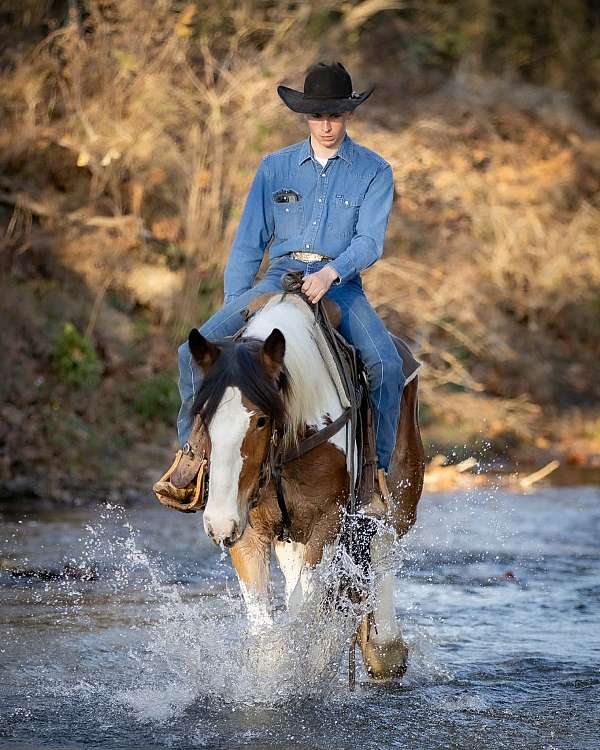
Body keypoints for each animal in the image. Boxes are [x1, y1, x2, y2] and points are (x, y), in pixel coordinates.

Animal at [165, 291, 424, 680]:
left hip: (401, 498)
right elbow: (264, 615)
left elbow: (307, 604)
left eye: (260, 420)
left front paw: (309, 668)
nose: (217, 522)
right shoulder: (248, 529)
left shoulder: (329, 521)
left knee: (384, 547)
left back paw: (386, 650)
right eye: (202, 415)